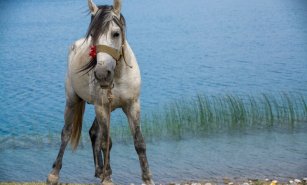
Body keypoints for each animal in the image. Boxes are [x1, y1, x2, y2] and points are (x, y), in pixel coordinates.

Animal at [46, 0, 154, 184]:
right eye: (93, 36)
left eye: (116, 34)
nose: (102, 74)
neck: (118, 75)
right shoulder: (102, 107)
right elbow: (105, 142)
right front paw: (108, 177)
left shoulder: (132, 106)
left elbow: (139, 142)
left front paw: (147, 178)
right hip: (73, 101)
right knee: (66, 133)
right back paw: (54, 173)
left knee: (94, 132)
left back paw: (98, 170)